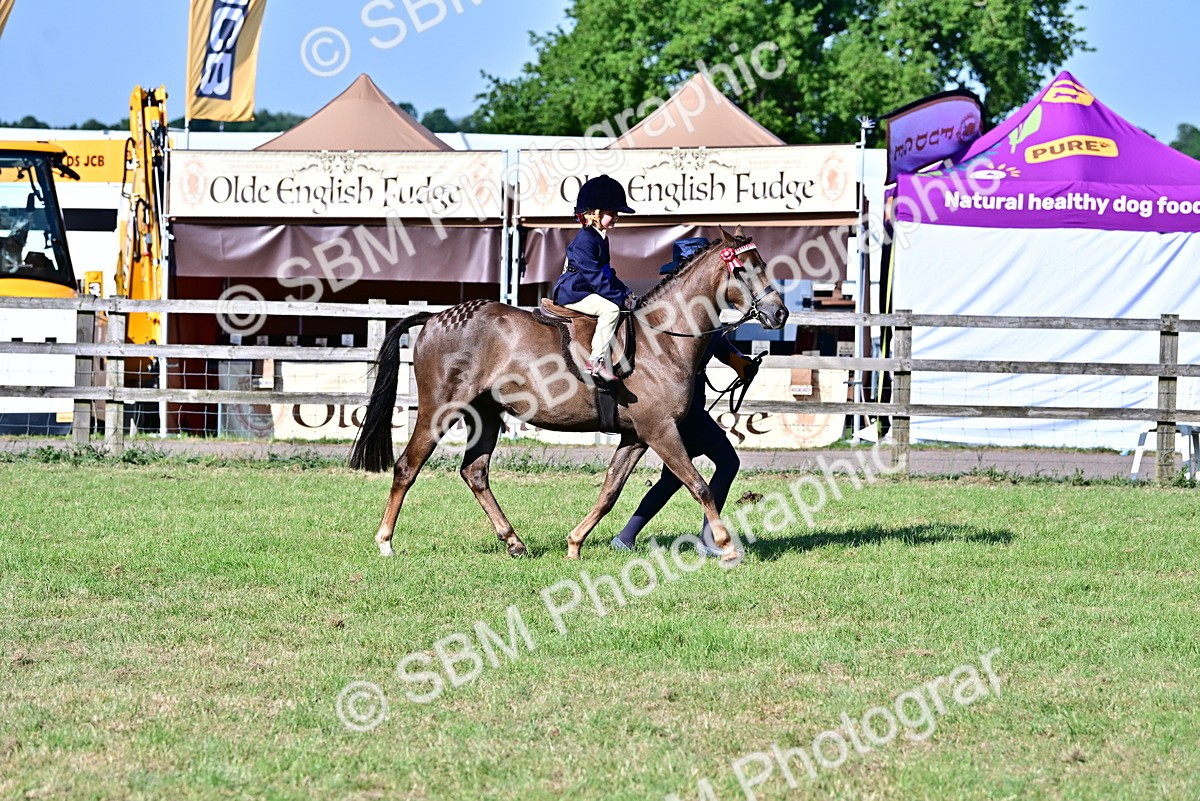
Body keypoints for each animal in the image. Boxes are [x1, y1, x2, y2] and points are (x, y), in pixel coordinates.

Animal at [349, 227, 788, 561]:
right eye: (744, 269)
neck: (661, 338)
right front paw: (727, 547)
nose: (779, 313)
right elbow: (697, 484)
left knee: (475, 472)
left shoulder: (636, 437)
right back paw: (385, 542)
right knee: (407, 467)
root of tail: (437, 316)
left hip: (485, 414)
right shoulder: (660, 431)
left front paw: (575, 543)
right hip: (439, 410)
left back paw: (514, 542)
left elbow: (610, 491)